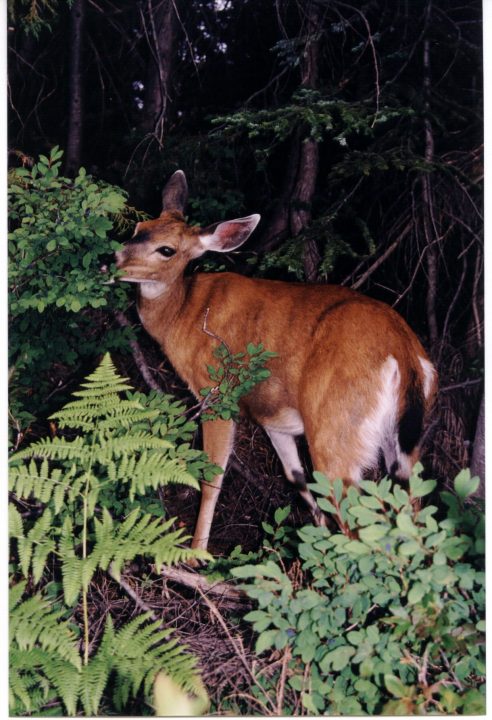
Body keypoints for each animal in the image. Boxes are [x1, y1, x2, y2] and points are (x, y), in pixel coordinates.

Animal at [114, 170, 437, 554]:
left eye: (167, 250)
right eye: (139, 227)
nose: (114, 260)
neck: (183, 312)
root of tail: (402, 352)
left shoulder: (217, 395)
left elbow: (212, 478)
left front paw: (196, 555)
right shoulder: (273, 418)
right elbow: (296, 478)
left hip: (336, 427)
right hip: (403, 442)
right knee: (410, 508)